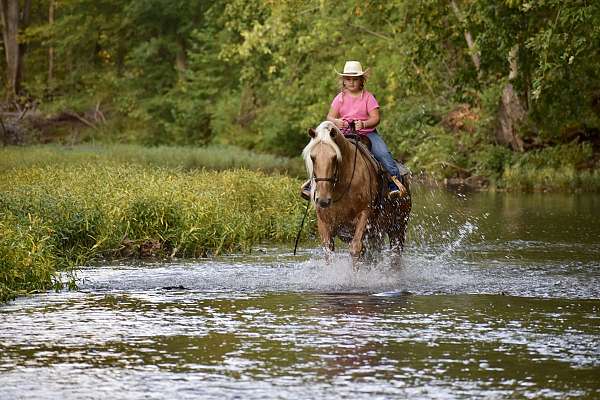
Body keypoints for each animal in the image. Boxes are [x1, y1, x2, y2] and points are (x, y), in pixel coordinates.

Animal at [302, 120, 410, 260]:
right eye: (313, 157)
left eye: (335, 157)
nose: (323, 200)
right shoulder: (324, 224)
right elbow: (329, 252)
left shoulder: (364, 215)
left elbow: (356, 249)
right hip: (377, 234)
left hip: (398, 228)